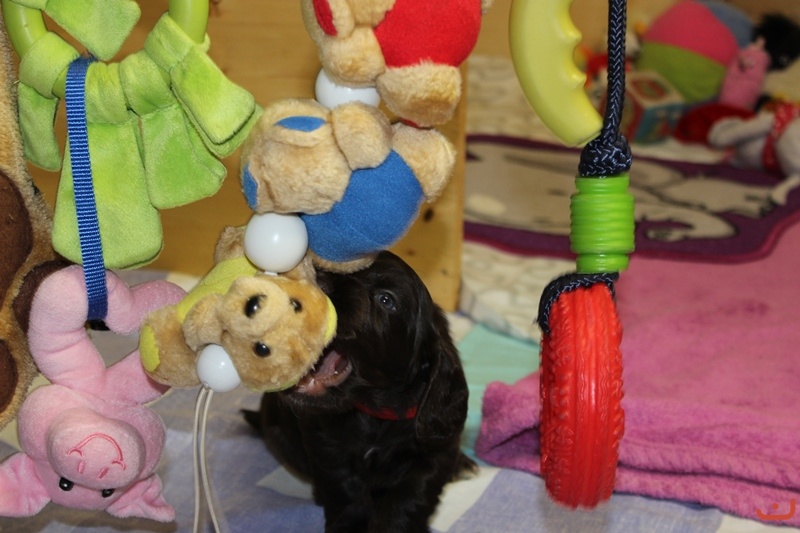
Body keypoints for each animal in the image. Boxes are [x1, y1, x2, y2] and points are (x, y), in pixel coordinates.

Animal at [245, 251, 474, 532]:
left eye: (386, 300)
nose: (315, 281)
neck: (375, 412)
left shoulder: (434, 454)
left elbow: (408, 498)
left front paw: (393, 526)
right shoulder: (327, 446)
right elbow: (346, 493)